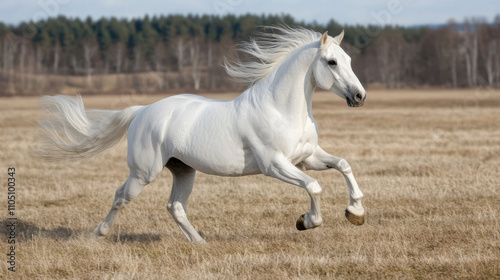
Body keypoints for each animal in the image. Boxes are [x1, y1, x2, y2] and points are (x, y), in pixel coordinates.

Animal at [38, 26, 368, 243]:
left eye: (350, 60)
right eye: (331, 62)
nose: (359, 96)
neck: (281, 110)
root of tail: (143, 110)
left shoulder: (306, 158)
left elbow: (344, 165)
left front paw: (356, 212)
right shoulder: (275, 165)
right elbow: (314, 187)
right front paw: (306, 221)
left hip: (183, 170)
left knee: (175, 206)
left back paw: (199, 242)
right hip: (144, 172)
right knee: (121, 196)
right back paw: (100, 233)